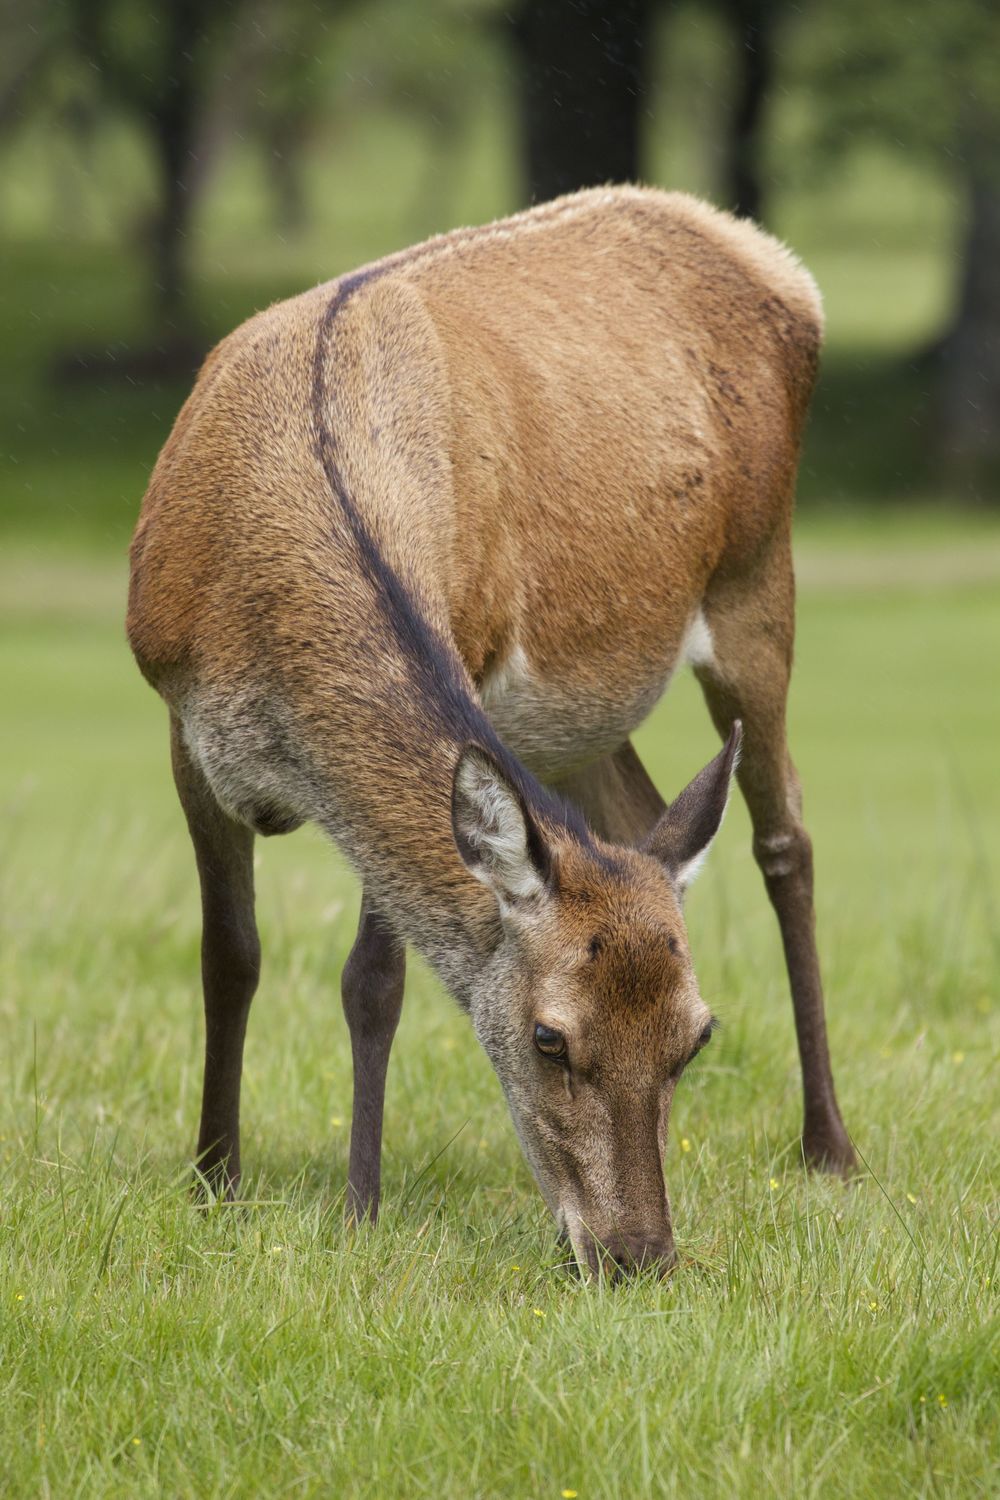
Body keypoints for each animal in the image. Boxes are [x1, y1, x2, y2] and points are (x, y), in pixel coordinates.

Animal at [128, 184, 857, 1278]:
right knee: (647, 817)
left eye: (695, 1038)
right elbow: (231, 956)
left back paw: (830, 1145)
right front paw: (216, 1181)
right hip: (581, 722)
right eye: (550, 1039)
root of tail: (767, 252)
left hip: (757, 577)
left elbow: (374, 977)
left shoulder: (466, 653)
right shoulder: (183, 722)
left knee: (786, 837)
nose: (639, 1254)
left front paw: (360, 1207)